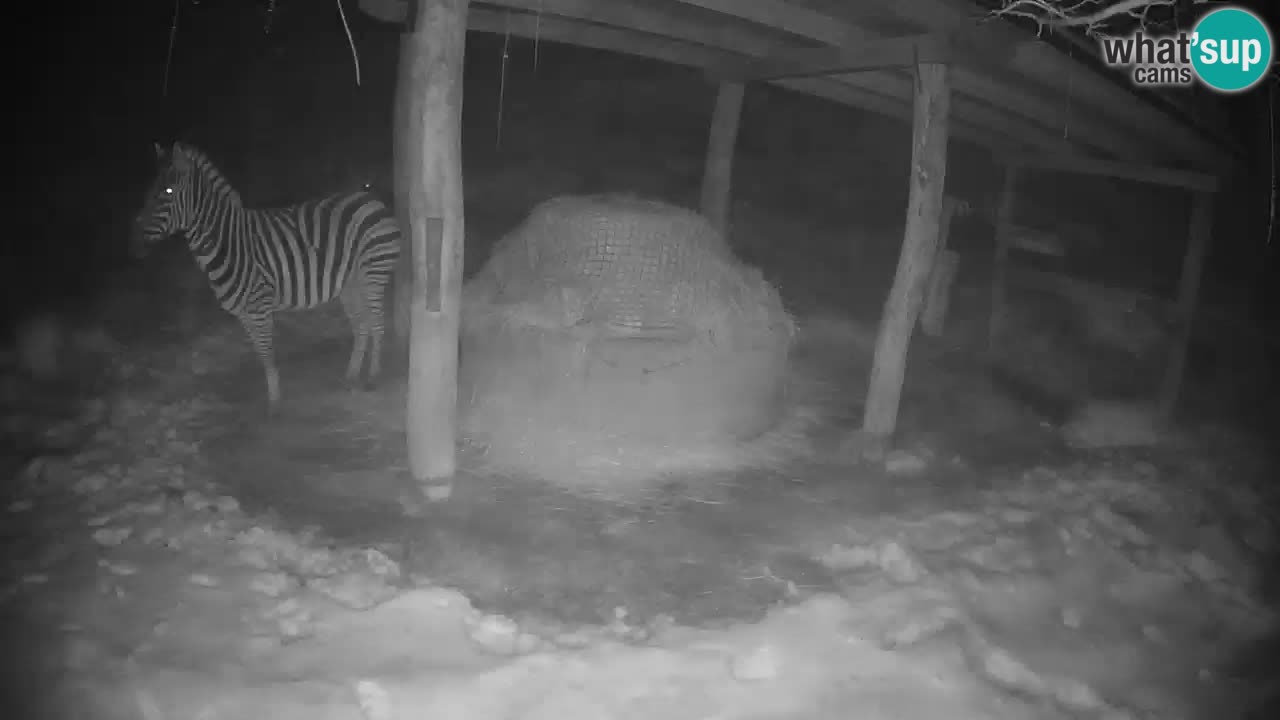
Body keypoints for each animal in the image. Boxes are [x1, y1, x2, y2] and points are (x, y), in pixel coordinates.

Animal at [129, 141, 402, 411]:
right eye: (151, 189)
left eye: (167, 190)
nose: (133, 242)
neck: (227, 243)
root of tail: (371, 199)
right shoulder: (244, 313)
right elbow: (261, 354)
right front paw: (273, 397)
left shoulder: (259, 305)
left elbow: (267, 352)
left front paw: (274, 404)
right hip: (351, 283)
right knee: (362, 324)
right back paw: (352, 375)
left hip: (372, 273)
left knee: (377, 323)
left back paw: (373, 377)